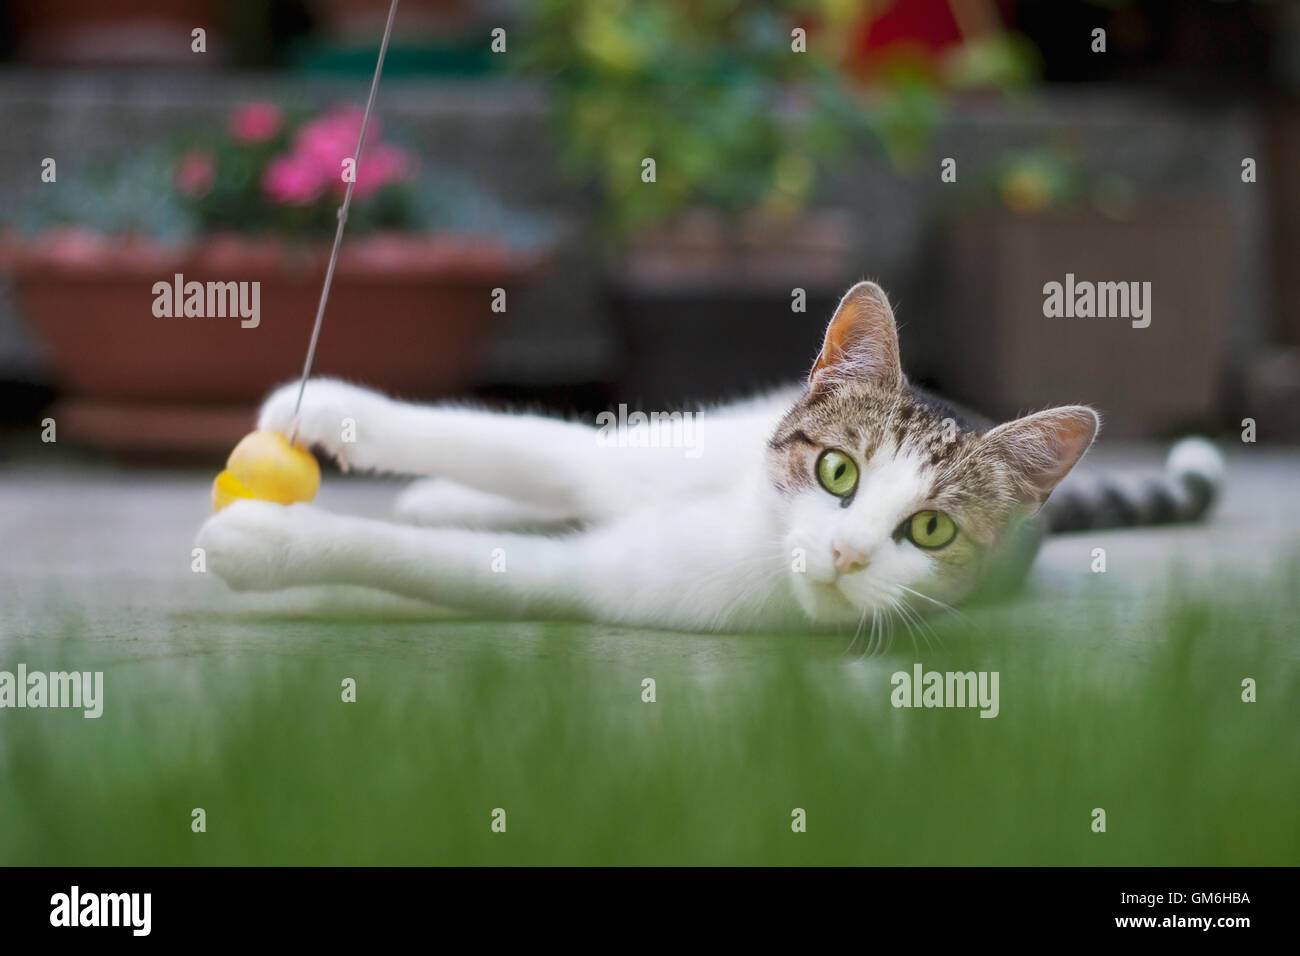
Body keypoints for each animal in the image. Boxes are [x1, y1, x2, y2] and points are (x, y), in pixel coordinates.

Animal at [197, 278, 1222, 634]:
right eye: (838, 471)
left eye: (929, 531)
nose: (846, 553)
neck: (752, 523)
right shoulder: (622, 462)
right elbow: (523, 444)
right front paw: (331, 407)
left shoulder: (599, 581)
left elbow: (443, 565)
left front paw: (267, 543)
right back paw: (442, 494)